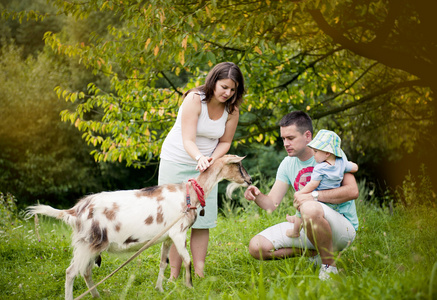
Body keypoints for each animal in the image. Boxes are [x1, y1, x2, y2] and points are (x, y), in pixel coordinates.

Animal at [26, 155, 252, 300]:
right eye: (239, 165)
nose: (250, 180)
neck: (189, 193)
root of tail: (74, 210)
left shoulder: (167, 237)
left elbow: (163, 263)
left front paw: (159, 289)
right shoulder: (178, 232)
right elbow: (187, 260)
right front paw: (189, 287)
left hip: (92, 246)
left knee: (86, 271)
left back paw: (98, 296)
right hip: (89, 242)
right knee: (71, 271)